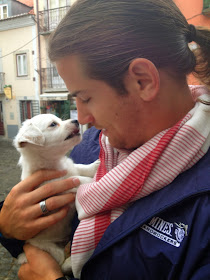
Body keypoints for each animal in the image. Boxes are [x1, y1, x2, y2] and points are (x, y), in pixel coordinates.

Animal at [13, 113, 99, 274]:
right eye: (53, 124)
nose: (76, 120)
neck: (56, 164)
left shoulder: (71, 167)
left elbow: (79, 168)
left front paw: (94, 167)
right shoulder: (59, 185)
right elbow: (79, 179)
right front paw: (98, 180)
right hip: (51, 249)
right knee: (61, 264)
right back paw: (71, 262)